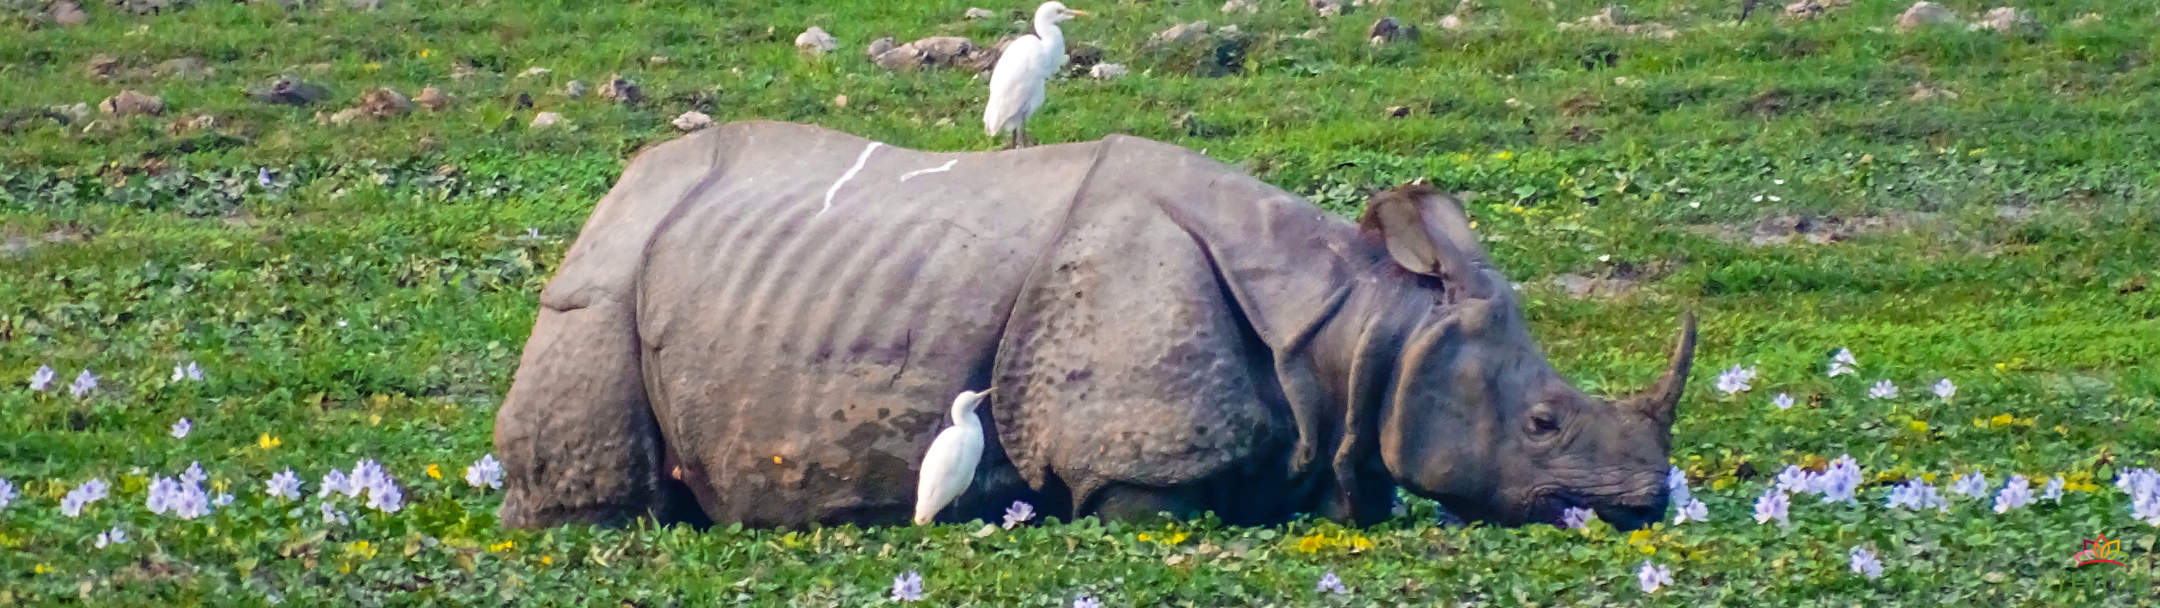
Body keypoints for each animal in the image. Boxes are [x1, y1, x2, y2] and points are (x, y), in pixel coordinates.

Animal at [494, 121, 1697, 531]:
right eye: (1542, 425)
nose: (1646, 502)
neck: (1365, 321)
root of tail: (618, 185)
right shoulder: (1133, 459)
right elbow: (1143, 504)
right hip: (603, 280)